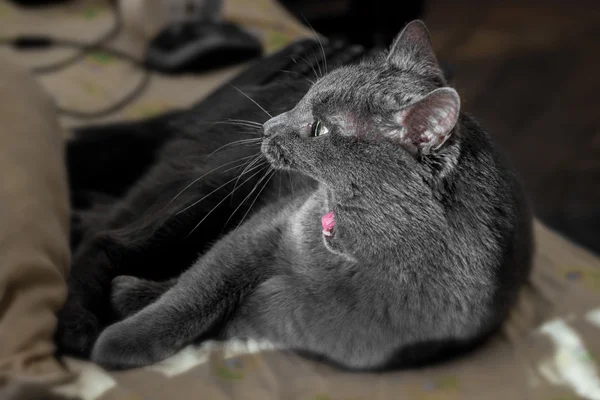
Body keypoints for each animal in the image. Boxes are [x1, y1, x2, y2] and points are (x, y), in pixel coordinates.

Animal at [90, 20, 536, 370]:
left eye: (319, 129)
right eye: (302, 98)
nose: (267, 126)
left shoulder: (311, 329)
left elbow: (225, 321)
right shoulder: (265, 227)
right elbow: (195, 288)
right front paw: (120, 333)